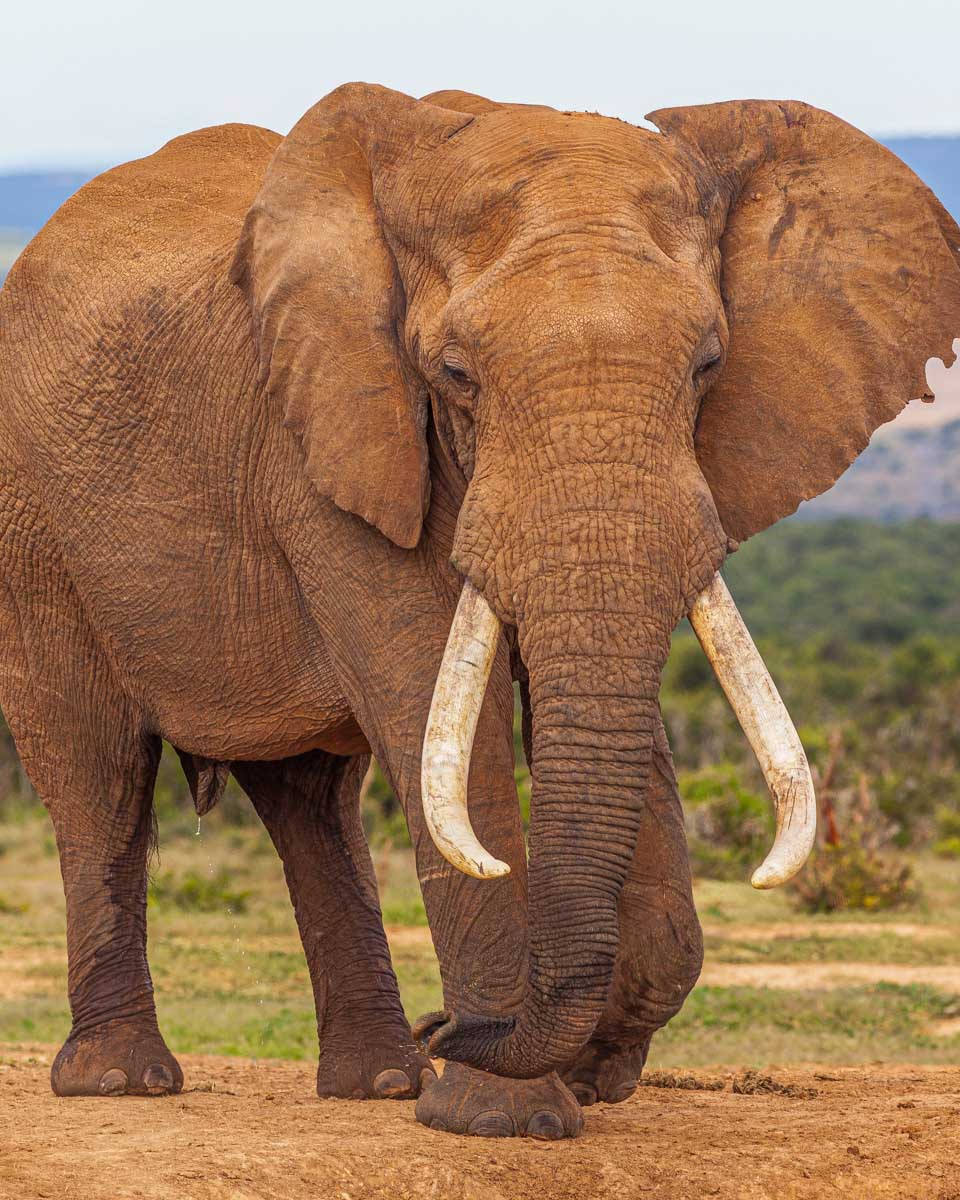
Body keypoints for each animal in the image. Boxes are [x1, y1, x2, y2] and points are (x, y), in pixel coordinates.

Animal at [0, 82, 957, 1141]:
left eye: (708, 365)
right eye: (457, 373)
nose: (444, 1025)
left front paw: (585, 1074)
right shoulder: (330, 439)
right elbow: (442, 709)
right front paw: (507, 1120)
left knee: (311, 799)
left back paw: (382, 1082)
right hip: (36, 528)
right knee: (98, 775)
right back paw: (123, 1080)